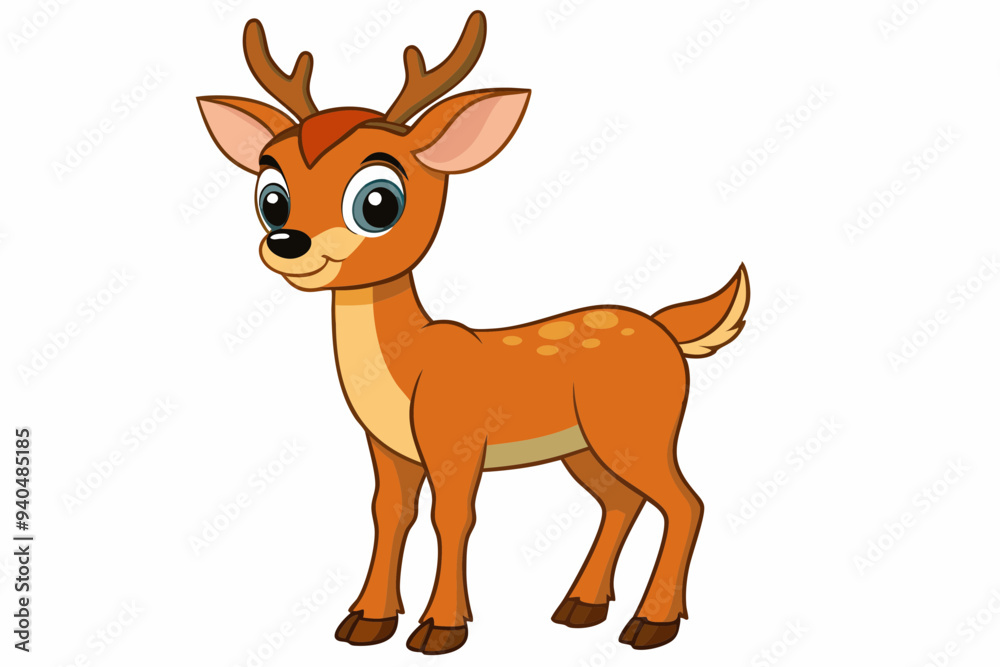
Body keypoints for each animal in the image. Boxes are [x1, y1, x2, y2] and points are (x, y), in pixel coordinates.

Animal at [197, 10, 749, 655]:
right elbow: (389, 513)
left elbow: (453, 517)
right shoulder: (389, 446)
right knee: (623, 501)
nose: (288, 241)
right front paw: (366, 621)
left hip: (638, 427)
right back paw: (580, 607)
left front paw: (440, 628)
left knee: (685, 502)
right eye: (272, 194)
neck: (409, 365)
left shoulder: (455, 438)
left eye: (378, 200)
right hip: (584, 446)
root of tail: (664, 330)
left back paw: (651, 624)